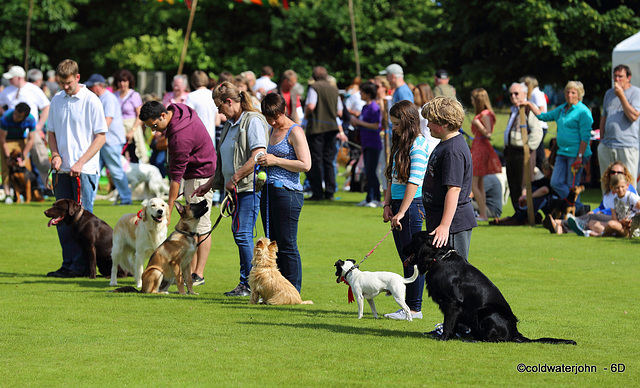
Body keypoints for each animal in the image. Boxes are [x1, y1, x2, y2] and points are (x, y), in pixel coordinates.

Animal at [402, 232, 576, 344]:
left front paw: (443, 338)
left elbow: (448, 324)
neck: (440, 258)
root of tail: (515, 331)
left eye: (413, 239)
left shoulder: (453, 303)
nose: (402, 249)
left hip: (487, 313)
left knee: (494, 340)